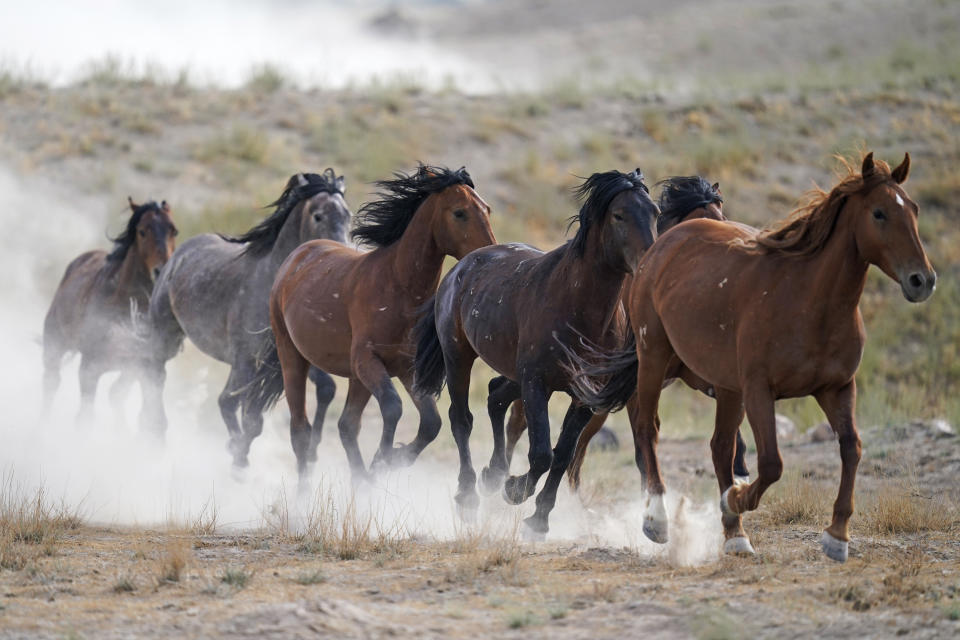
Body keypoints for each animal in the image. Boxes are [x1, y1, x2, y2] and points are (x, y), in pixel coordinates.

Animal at [41, 198, 178, 422]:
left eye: (174, 231)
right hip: (54, 344)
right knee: (51, 383)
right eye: (142, 231)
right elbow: (85, 417)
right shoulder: (90, 367)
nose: (162, 271)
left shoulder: (147, 369)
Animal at [141, 168, 350, 464]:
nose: (343, 256)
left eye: (348, 215)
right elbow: (238, 411)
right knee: (157, 377)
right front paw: (238, 456)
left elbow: (321, 391)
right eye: (318, 215)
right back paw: (156, 430)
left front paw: (310, 450)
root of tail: (181, 252)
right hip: (165, 334)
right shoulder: (246, 360)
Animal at [253, 165, 496, 480]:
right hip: (292, 355)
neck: (397, 286)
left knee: (346, 425)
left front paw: (391, 459)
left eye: (486, 209)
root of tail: (298, 255)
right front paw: (381, 459)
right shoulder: (367, 360)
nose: (490, 252)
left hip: (355, 377)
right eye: (459, 212)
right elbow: (392, 407)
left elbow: (431, 422)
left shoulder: (405, 368)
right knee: (301, 430)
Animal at [412, 170, 660, 536]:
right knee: (462, 419)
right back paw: (469, 495)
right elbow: (542, 453)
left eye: (655, 212)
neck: (577, 308)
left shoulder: (584, 395)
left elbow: (563, 453)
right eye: (619, 215)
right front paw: (515, 490)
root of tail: (461, 267)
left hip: (513, 372)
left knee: (495, 396)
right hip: (459, 357)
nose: (648, 265)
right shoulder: (537, 384)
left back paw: (493, 474)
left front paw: (538, 517)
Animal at [568, 154, 932, 560]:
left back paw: (735, 535)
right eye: (879, 213)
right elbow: (772, 463)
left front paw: (837, 536)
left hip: (725, 387)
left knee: (718, 446)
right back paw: (658, 520)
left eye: (913, 209)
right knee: (647, 430)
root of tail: (658, 250)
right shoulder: (759, 389)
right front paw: (734, 500)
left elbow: (851, 448)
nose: (922, 280)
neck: (810, 301)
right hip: (654, 357)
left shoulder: (836, 388)